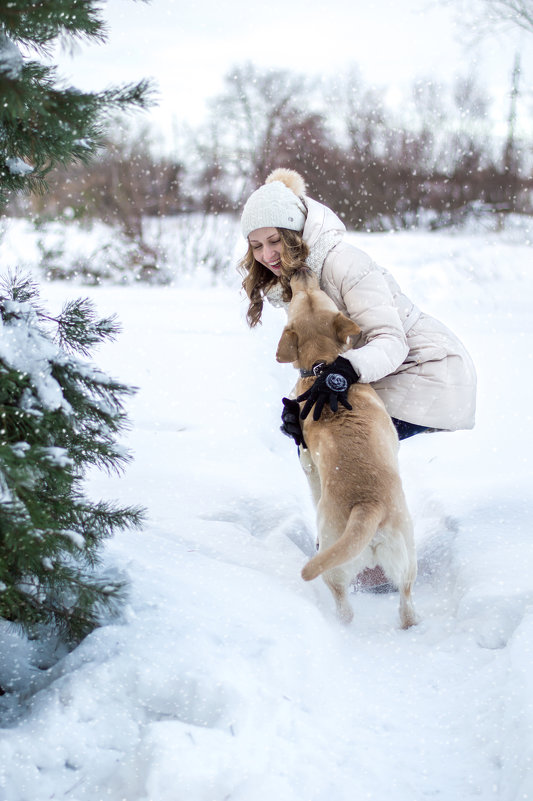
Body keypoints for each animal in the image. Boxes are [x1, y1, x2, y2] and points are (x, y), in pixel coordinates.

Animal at [276, 272, 418, 628]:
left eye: (308, 294)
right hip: (404, 558)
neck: (322, 365)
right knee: (401, 604)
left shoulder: (307, 462)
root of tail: (368, 505)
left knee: (348, 608)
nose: (300, 273)